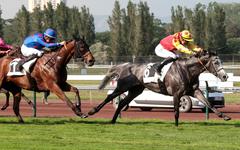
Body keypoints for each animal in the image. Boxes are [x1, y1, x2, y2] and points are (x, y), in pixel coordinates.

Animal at [89, 51, 232, 126]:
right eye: (216, 62)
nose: (225, 76)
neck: (187, 70)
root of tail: (124, 66)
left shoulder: (195, 91)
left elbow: (208, 103)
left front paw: (225, 116)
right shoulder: (177, 93)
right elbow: (176, 110)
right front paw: (176, 125)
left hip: (135, 90)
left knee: (122, 103)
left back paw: (113, 120)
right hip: (122, 87)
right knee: (110, 98)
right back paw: (90, 112)